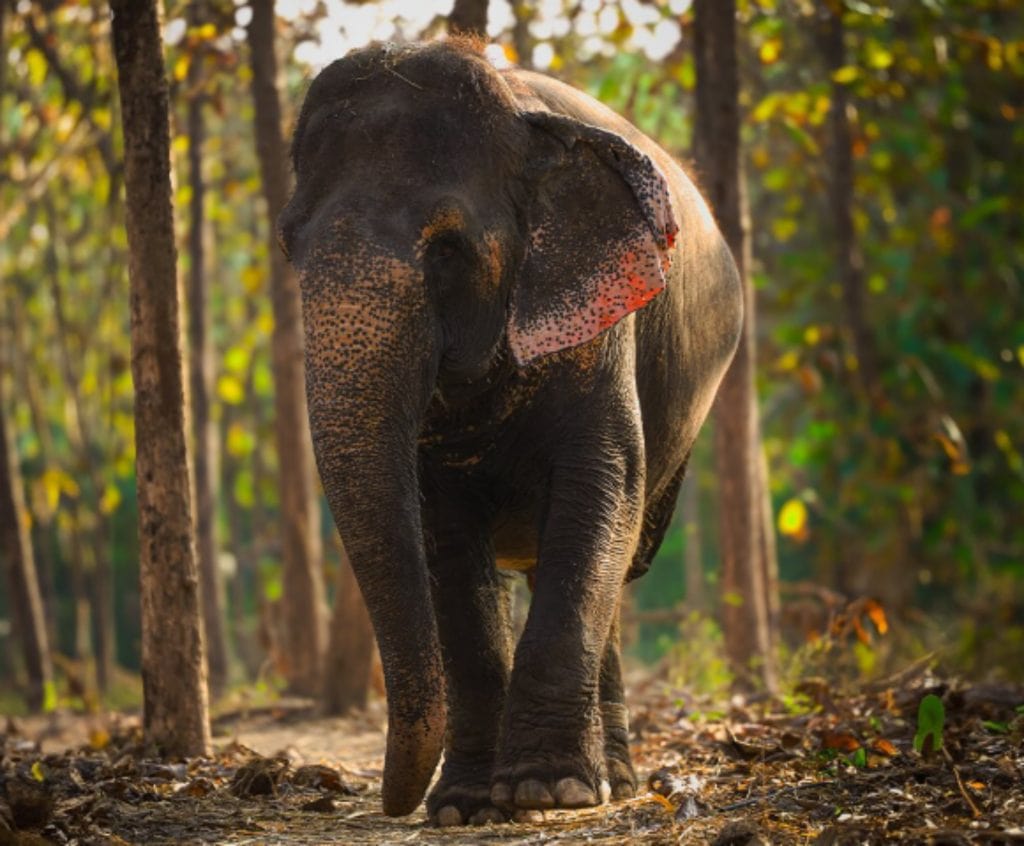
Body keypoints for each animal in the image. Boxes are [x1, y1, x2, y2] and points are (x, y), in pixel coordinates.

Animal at [278, 39, 742, 825]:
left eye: (447, 248)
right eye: (289, 245)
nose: (391, 803)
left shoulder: (601, 321)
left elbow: (603, 487)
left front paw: (544, 790)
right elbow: (446, 541)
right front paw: (465, 806)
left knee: (620, 555)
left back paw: (612, 780)